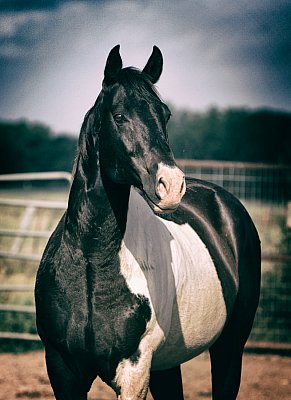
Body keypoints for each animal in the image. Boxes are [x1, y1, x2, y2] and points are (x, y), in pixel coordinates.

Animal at [35, 45, 262, 398]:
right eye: (119, 116)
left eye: (165, 114)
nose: (172, 184)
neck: (90, 264)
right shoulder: (62, 369)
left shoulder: (135, 370)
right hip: (168, 366)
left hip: (229, 347)